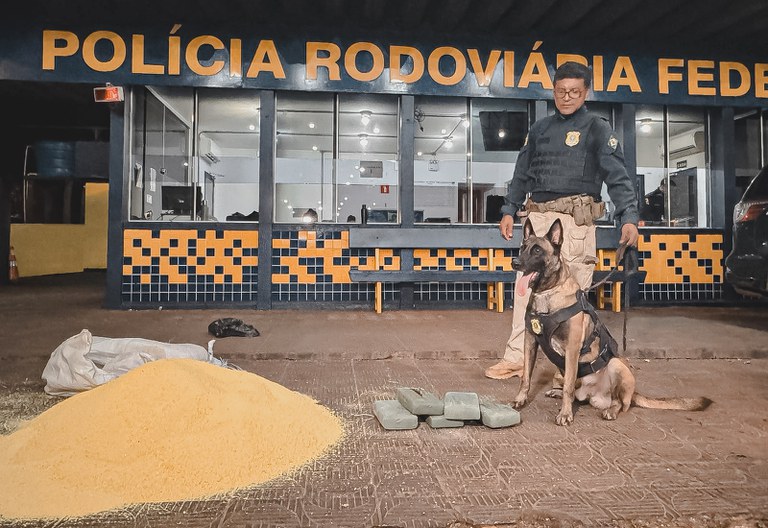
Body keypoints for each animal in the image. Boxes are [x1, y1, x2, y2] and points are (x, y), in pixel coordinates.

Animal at [510, 217, 712, 426]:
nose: (514, 262)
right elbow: (526, 377)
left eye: (537, 251)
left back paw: (611, 410)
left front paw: (565, 414)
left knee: (621, 403)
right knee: (578, 393)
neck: (548, 293)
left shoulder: (572, 348)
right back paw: (560, 394)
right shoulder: (530, 341)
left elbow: (568, 387)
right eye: (522, 248)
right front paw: (520, 399)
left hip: (616, 366)